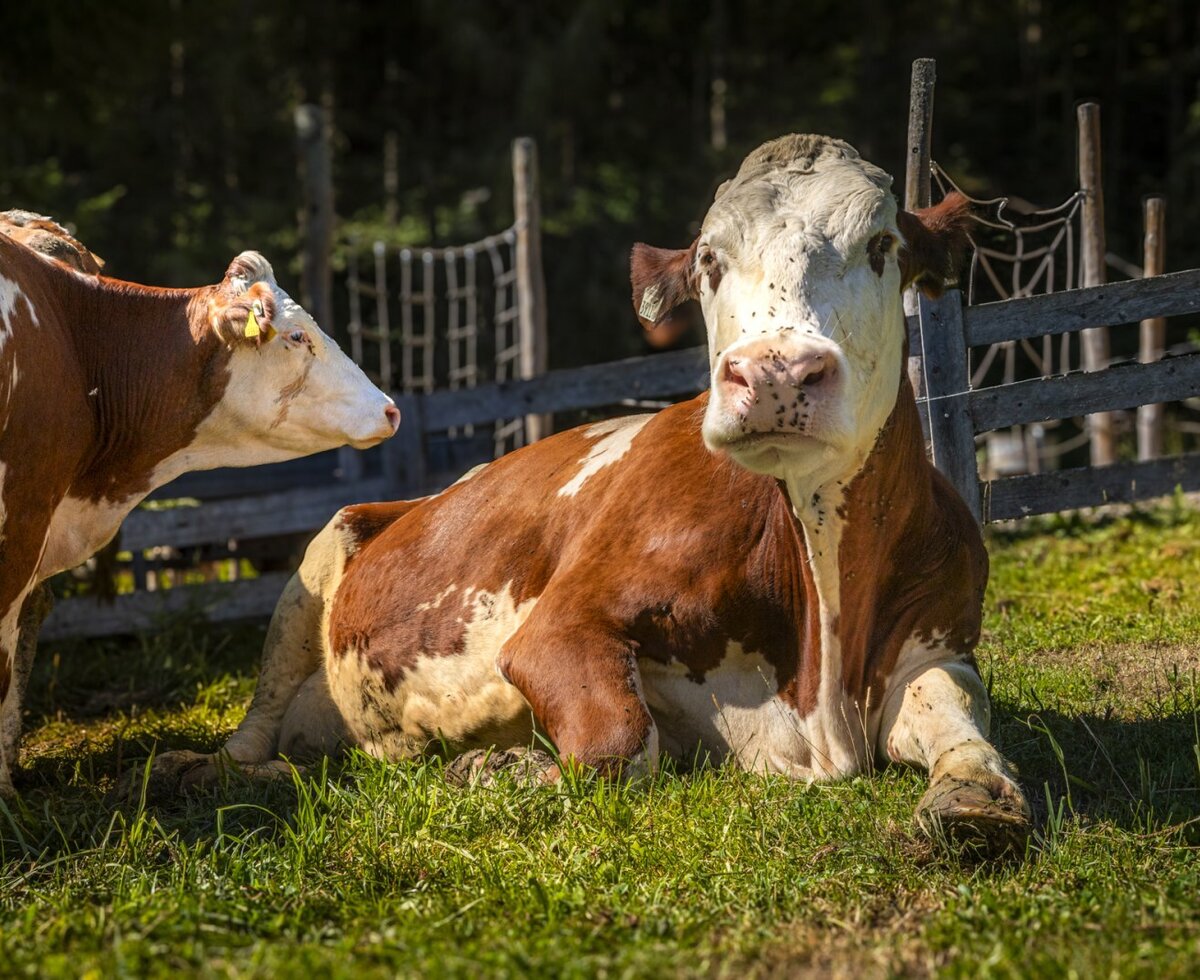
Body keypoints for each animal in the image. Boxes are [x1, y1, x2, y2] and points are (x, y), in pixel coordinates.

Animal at [148, 135, 1030, 851]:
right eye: (709, 261)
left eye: (882, 245)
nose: (776, 373)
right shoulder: (559, 628)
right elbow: (620, 742)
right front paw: (496, 767)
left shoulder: (938, 639)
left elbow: (961, 715)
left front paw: (974, 799)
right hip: (310, 573)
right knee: (254, 733)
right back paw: (205, 771)